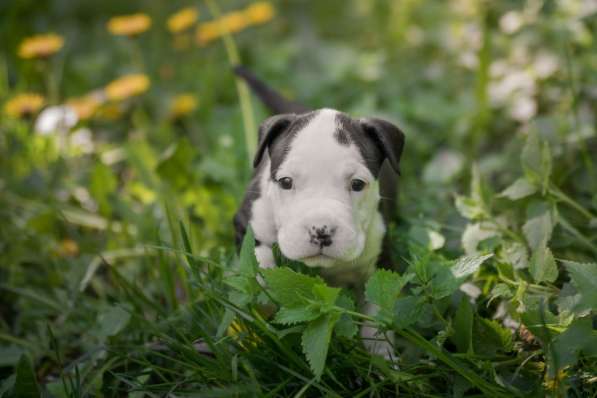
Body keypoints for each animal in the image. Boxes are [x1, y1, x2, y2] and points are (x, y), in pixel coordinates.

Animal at [233, 67, 406, 360]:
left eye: (357, 184)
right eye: (286, 182)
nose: (321, 230)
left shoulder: (379, 261)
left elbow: (377, 314)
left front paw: (384, 359)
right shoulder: (247, 223)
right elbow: (258, 259)